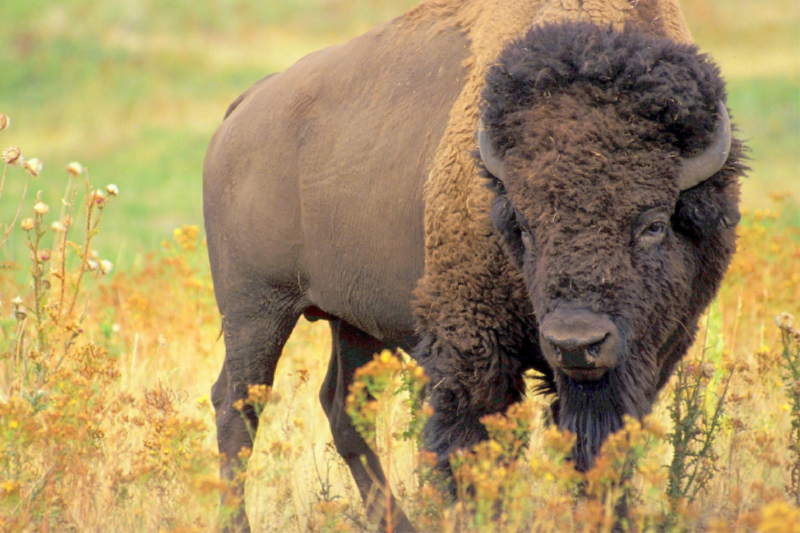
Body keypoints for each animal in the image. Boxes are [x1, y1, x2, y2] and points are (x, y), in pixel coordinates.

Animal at [203, 2, 748, 528]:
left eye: (653, 224)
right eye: (523, 226)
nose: (575, 343)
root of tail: (244, 108)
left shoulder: (648, 356)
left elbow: (601, 452)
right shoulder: (471, 346)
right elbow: (474, 451)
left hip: (352, 323)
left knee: (343, 409)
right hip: (257, 309)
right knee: (237, 407)